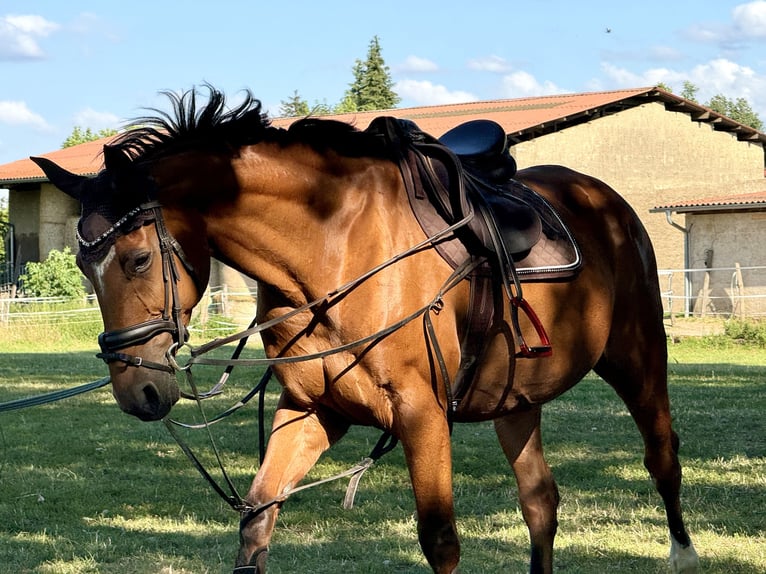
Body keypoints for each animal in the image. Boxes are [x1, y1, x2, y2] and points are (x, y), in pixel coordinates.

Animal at [31, 86, 704, 574]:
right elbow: (257, 519)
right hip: (516, 397)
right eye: (83, 266)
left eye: (139, 260)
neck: (330, 248)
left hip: (639, 359)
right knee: (540, 500)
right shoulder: (309, 410)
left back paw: (684, 553)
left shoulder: (422, 415)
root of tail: (606, 200)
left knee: (662, 457)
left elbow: (440, 541)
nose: (138, 391)